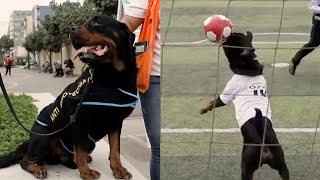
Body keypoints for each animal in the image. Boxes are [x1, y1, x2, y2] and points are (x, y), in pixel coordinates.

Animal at [0, 15, 136, 180]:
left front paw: (118, 169)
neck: (112, 77)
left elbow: (115, 150)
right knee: (25, 161)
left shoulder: (116, 121)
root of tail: (29, 140)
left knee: (65, 157)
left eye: (97, 22)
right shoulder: (79, 118)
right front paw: (86, 173)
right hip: (45, 135)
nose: (71, 29)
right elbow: (80, 150)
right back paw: (38, 168)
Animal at [200, 31, 290, 180]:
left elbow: (213, 102)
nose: (229, 33)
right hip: (281, 164)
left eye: (233, 39)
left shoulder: (227, 94)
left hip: (246, 166)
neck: (250, 67)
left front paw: (204, 109)